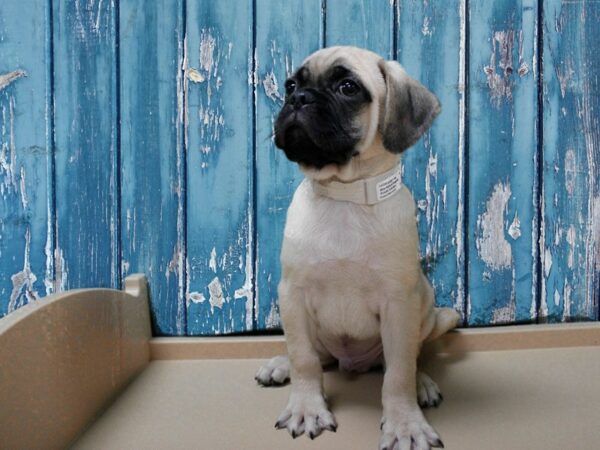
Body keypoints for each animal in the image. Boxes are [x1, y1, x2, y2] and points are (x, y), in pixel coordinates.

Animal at [254, 46, 460, 450]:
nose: (299, 99)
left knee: (412, 357)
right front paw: (306, 406)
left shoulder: (399, 305)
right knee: (316, 355)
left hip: (425, 310)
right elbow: (303, 358)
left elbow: (398, 373)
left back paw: (422, 383)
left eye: (348, 87)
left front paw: (404, 422)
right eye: (290, 85)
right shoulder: (293, 295)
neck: (343, 196)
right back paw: (280, 365)